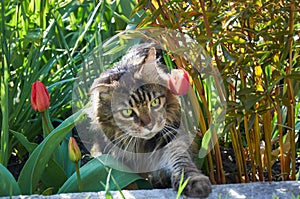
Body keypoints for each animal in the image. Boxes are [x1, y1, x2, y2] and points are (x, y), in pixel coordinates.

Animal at [86, 43, 212, 197]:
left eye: (155, 102)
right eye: (127, 112)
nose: (149, 125)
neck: (141, 144)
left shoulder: (171, 138)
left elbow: (181, 161)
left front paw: (194, 182)